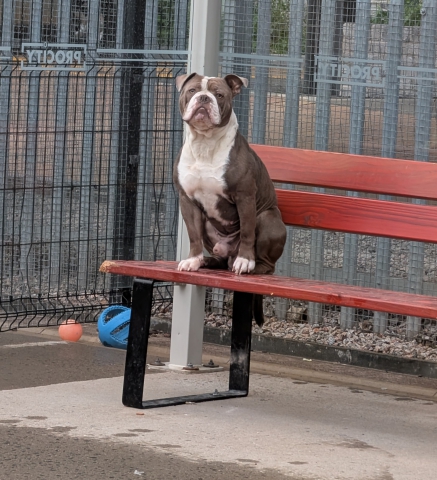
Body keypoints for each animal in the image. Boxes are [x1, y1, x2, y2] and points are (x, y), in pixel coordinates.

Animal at [174, 72, 286, 326]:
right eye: (192, 90)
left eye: (219, 95)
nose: (203, 98)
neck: (205, 143)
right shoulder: (187, 201)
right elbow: (193, 236)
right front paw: (193, 260)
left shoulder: (245, 197)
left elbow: (247, 232)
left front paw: (245, 260)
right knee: (219, 258)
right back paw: (206, 261)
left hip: (268, 218)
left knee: (267, 263)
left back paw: (249, 265)